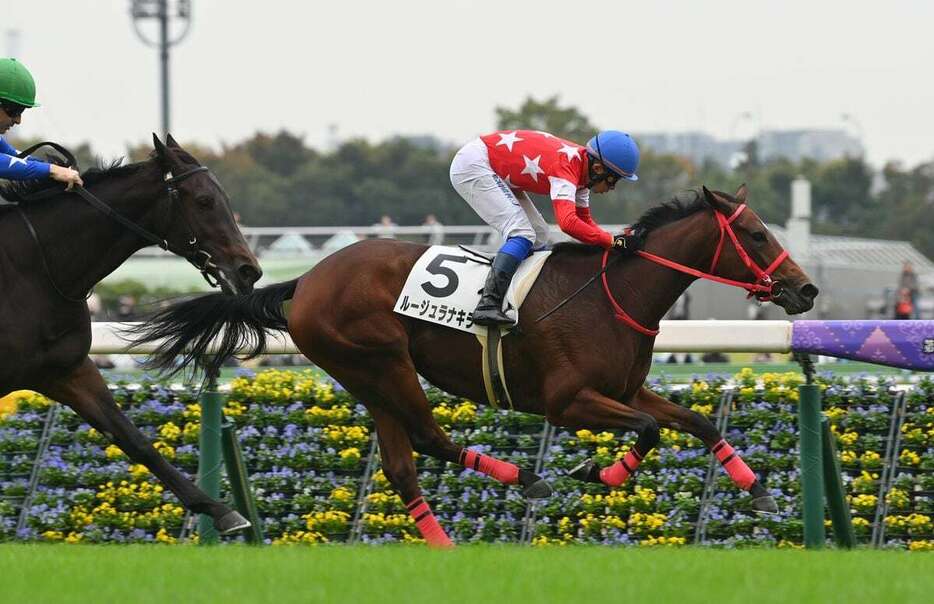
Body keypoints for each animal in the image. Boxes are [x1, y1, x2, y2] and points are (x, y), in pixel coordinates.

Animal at [0, 136, 264, 532]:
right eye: (204, 200)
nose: (249, 271)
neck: (36, 270)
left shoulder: (66, 369)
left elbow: (133, 438)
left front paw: (222, 511)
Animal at [130, 185, 820, 548]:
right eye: (756, 235)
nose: (806, 290)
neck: (611, 293)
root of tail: (306, 281)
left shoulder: (627, 390)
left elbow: (696, 423)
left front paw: (758, 490)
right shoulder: (569, 400)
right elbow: (649, 432)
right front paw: (597, 472)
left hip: (367, 378)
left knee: (402, 464)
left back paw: (444, 541)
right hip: (382, 363)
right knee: (429, 439)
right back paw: (525, 481)